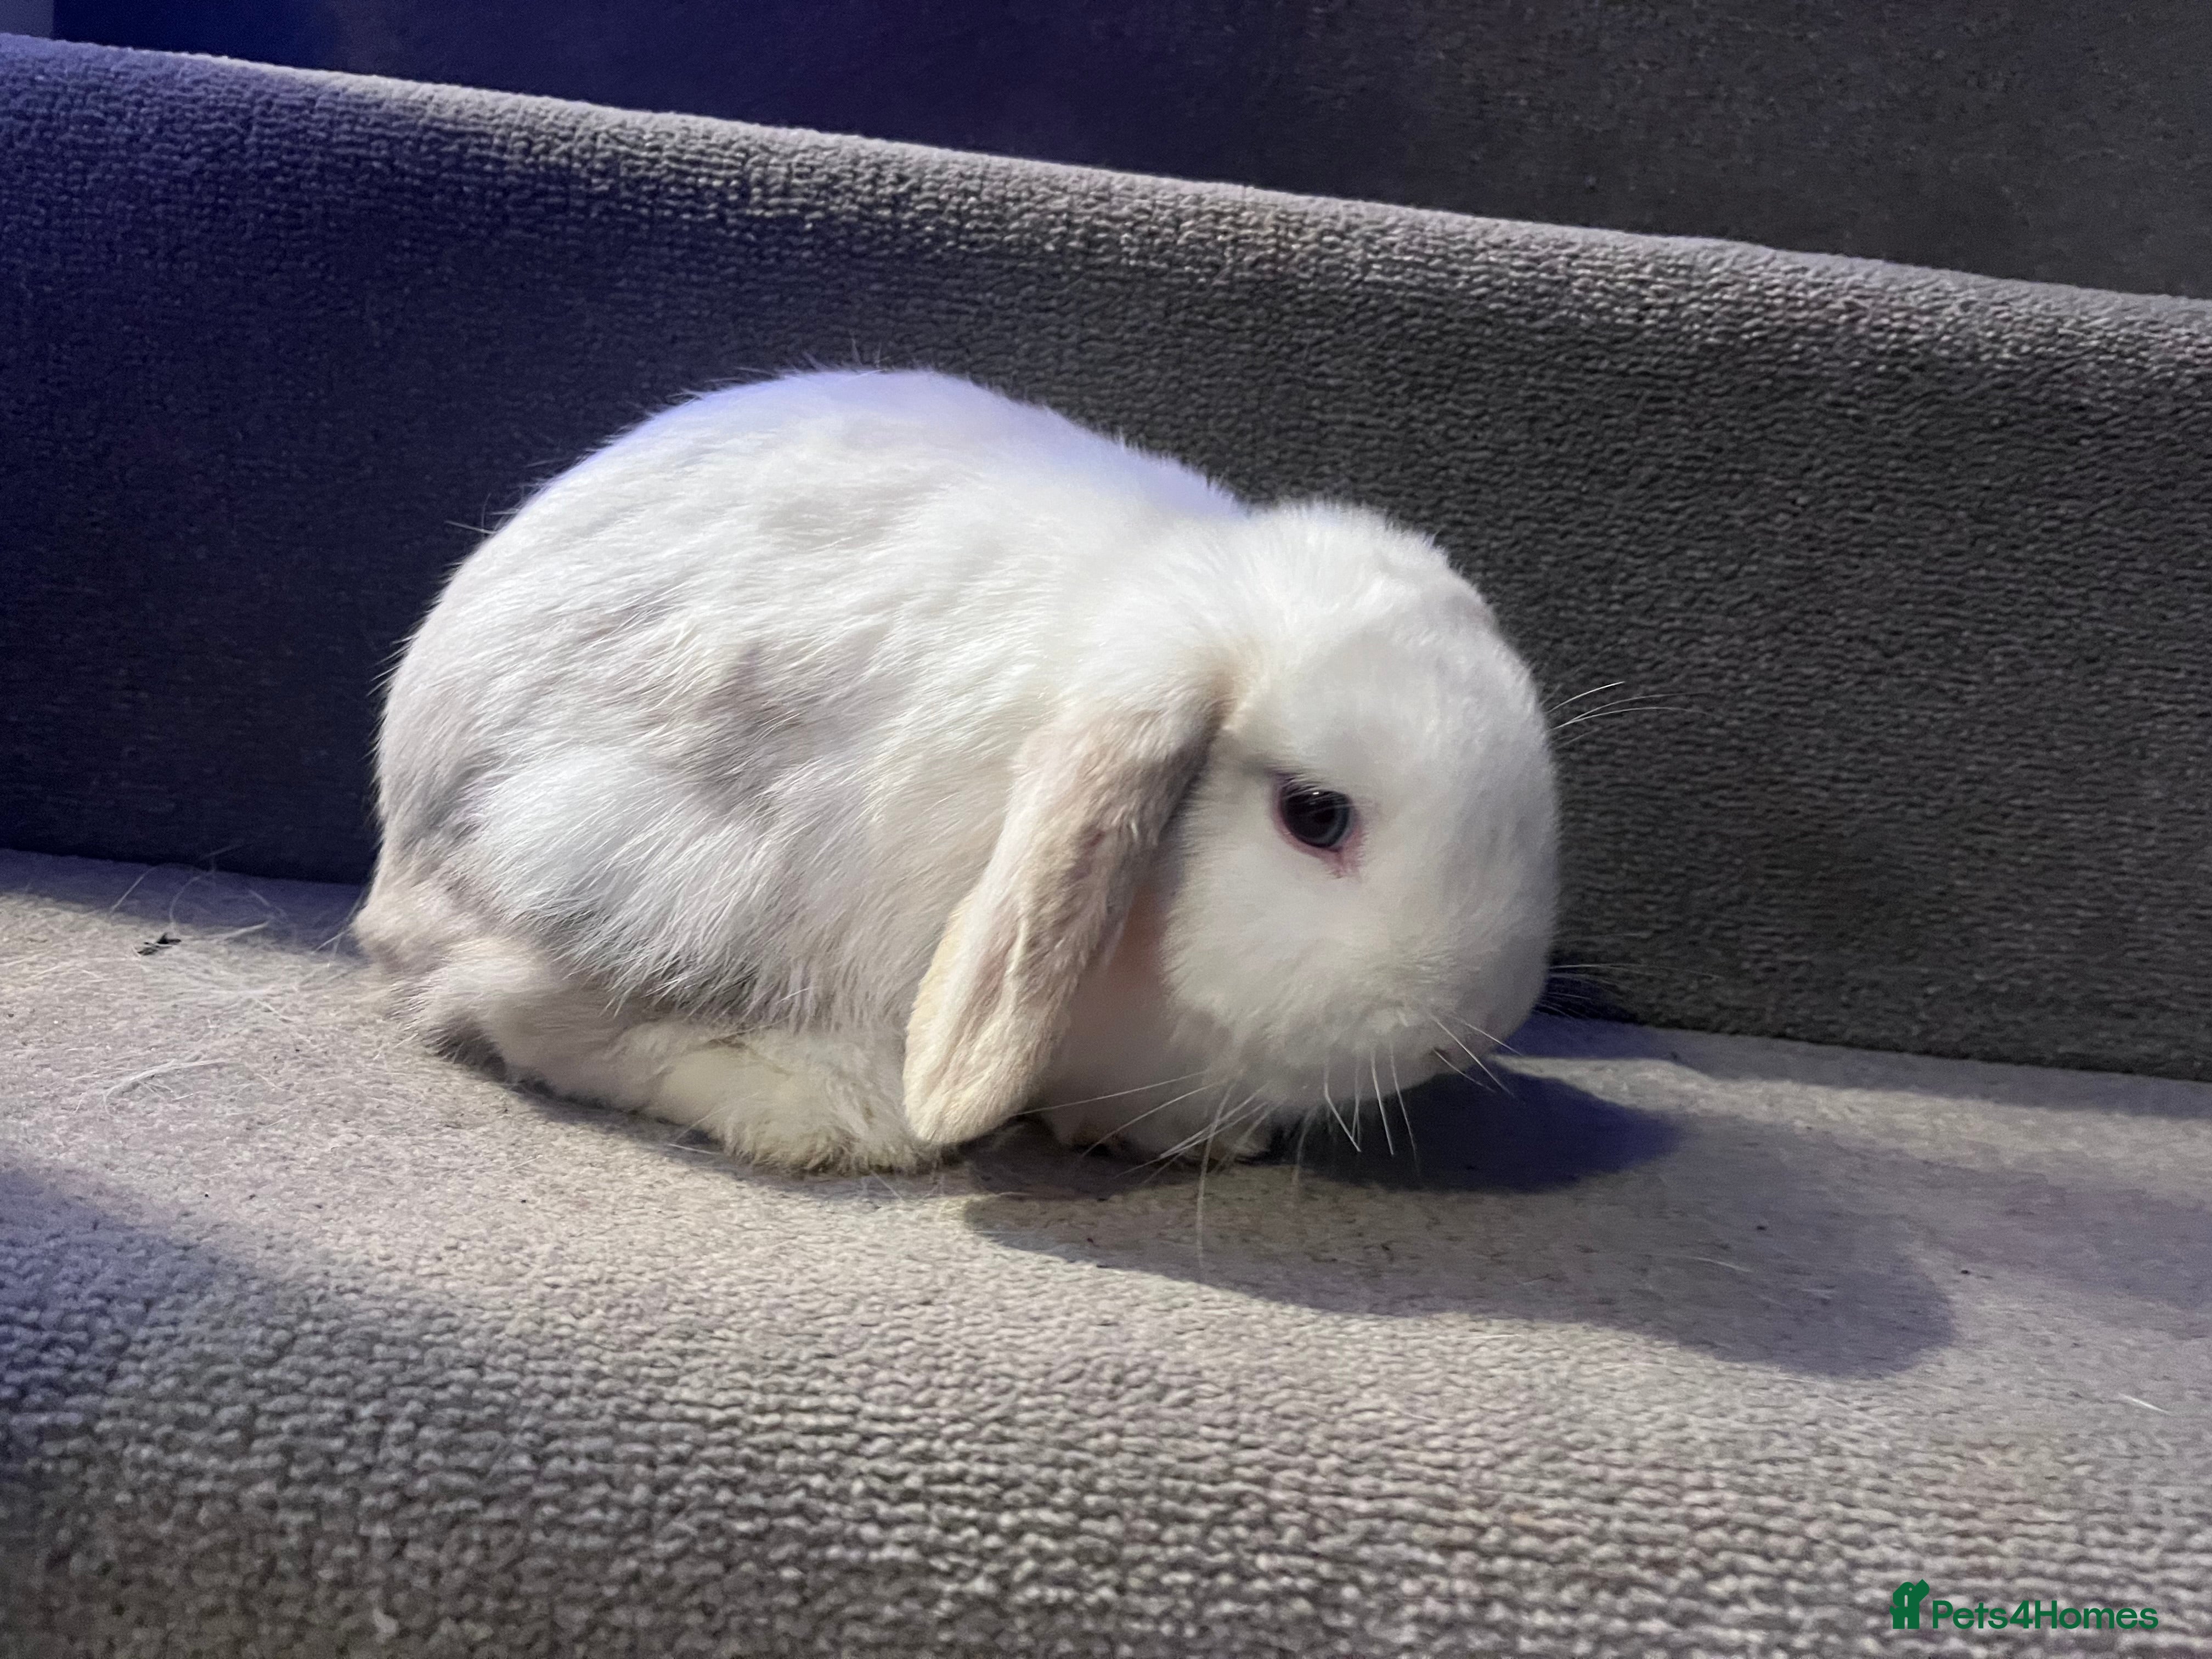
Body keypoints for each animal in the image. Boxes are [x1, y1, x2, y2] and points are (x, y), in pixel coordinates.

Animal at [354, 368, 1559, 1173]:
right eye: (1315, 816)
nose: (1470, 1024)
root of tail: (398, 851)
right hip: (630, 860)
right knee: (526, 1010)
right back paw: (829, 1112)